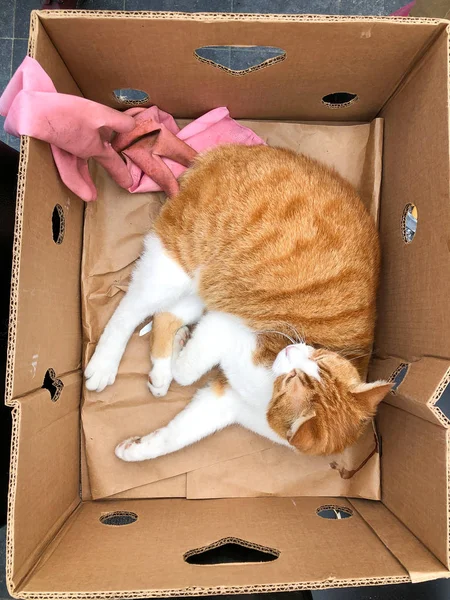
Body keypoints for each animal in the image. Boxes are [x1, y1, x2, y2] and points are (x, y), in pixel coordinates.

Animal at [84, 144, 390, 460]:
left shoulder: (225, 402)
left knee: (166, 313)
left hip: (209, 286)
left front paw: (137, 450)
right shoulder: (225, 324)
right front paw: (179, 355)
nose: (292, 348)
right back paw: (105, 364)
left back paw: (161, 368)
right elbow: (186, 371)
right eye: (309, 366)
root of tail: (226, 152)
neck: (264, 391)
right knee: (130, 309)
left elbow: (176, 435)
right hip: (177, 268)